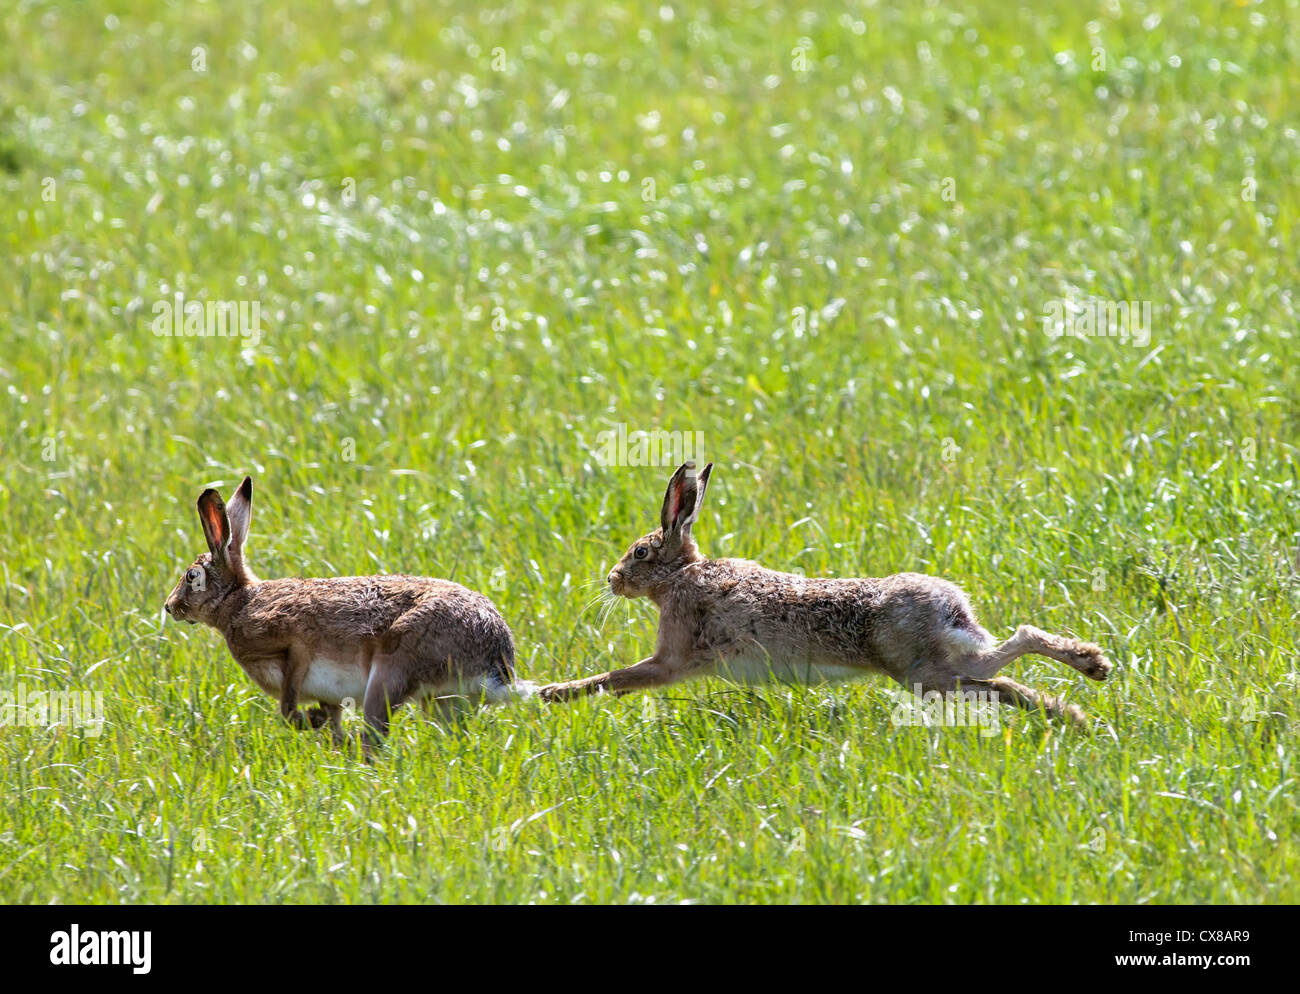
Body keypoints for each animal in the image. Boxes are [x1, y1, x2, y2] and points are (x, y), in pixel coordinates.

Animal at [164, 476, 535, 750]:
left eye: (192, 576)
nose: (169, 607)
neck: (238, 602)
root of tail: (496, 665)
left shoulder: (293, 645)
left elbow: (288, 707)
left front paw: (311, 721)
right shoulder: (328, 693)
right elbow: (331, 718)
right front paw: (328, 731)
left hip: (391, 672)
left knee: (376, 734)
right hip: (441, 700)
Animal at [539, 461, 1113, 725]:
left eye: (640, 552)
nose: (611, 579)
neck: (683, 575)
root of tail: (950, 606)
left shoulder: (672, 660)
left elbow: (619, 678)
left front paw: (551, 694)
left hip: (920, 672)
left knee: (999, 674)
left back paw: (1077, 698)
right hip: (938, 664)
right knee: (1006, 664)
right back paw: (1081, 688)